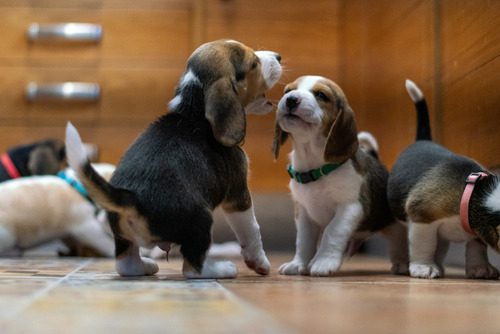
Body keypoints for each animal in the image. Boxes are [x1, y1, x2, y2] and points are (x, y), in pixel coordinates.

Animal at [65, 39, 282, 280]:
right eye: (253, 63)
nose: (278, 56)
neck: (192, 111)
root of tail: (131, 197)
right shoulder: (239, 195)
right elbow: (252, 230)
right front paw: (260, 262)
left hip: (122, 235)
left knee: (125, 265)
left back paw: (145, 266)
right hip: (201, 219)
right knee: (192, 267)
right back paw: (221, 268)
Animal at [272, 75, 408, 276]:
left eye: (321, 95)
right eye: (288, 91)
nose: (291, 99)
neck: (315, 168)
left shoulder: (350, 208)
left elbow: (331, 232)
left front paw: (323, 262)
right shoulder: (303, 213)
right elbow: (304, 241)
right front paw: (298, 264)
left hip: (395, 227)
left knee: (399, 243)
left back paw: (403, 264)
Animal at [386, 79, 500, 280]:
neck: (475, 192)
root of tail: (422, 140)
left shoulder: (477, 231)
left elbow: (476, 249)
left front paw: (481, 268)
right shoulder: (422, 217)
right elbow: (424, 245)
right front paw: (424, 267)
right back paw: (402, 265)